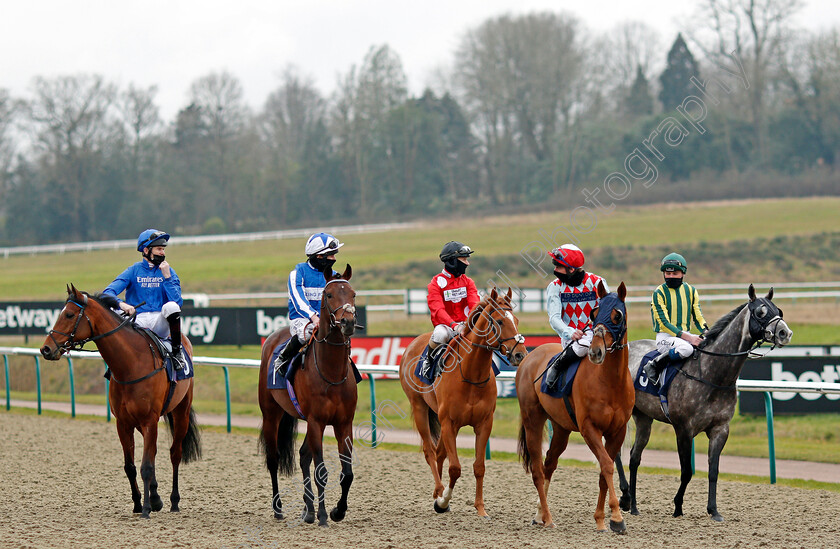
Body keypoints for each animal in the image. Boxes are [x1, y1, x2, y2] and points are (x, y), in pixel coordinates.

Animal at [40, 282, 202, 520]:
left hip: (180, 411)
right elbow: (131, 466)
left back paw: (173, 501)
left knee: (175, 453)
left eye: (69, 314)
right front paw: (138, 504)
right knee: (154, 453)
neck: (131, 364)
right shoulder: (123, 423)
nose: (46, 349)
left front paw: (146, 509)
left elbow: (146, 466)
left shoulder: (149, 420)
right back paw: (156, 497)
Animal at [258, 266, 360, 528]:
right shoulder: (316, 421)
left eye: (353, 294)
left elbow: (347, 473)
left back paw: (308, 510)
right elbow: (321, 471)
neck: (331, 372)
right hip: (271, 414)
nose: (348, 322)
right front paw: (324, 515)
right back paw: (279, 509)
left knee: (304, 456)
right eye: (330, 295)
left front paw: (337, 511)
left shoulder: (344, 423)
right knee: (273, 459)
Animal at [398, 286, 524, 520]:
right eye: (500, 321)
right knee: (430, 452)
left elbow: (479, 466)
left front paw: (481, 508)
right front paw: (443, 501)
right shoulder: (449, 423)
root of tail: (412, 344)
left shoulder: (484, 424)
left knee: (439, 453)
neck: (471, 374)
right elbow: (455, 468)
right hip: (419, 407)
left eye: (517, 320)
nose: (521, 354)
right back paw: (439, 491)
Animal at [516, 282, 632, 532]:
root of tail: (529, 356)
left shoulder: (617, 431)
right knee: (538, 470)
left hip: (561, 428)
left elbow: (604, 471)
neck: (611, 382)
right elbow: (607, 465)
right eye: (595, 314)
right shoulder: (589, 428)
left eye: (617, 315)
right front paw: (617, 517)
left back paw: (539, 514)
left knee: (549, 463)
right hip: (533, 420)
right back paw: (547, 517)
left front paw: (601, 519)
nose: (596, 352)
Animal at [612, 284, 792, 520]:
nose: (784, 333)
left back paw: (633, 505)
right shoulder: (683, 429)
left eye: (778, 310)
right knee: (615, 451)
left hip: (644, 418)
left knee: (634, 458)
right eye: (761, 312)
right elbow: (687, 471)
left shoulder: (720, 429)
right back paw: (624, 497)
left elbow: (713, 470)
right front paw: (678, 506)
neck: (712, 374)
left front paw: (713, 510)